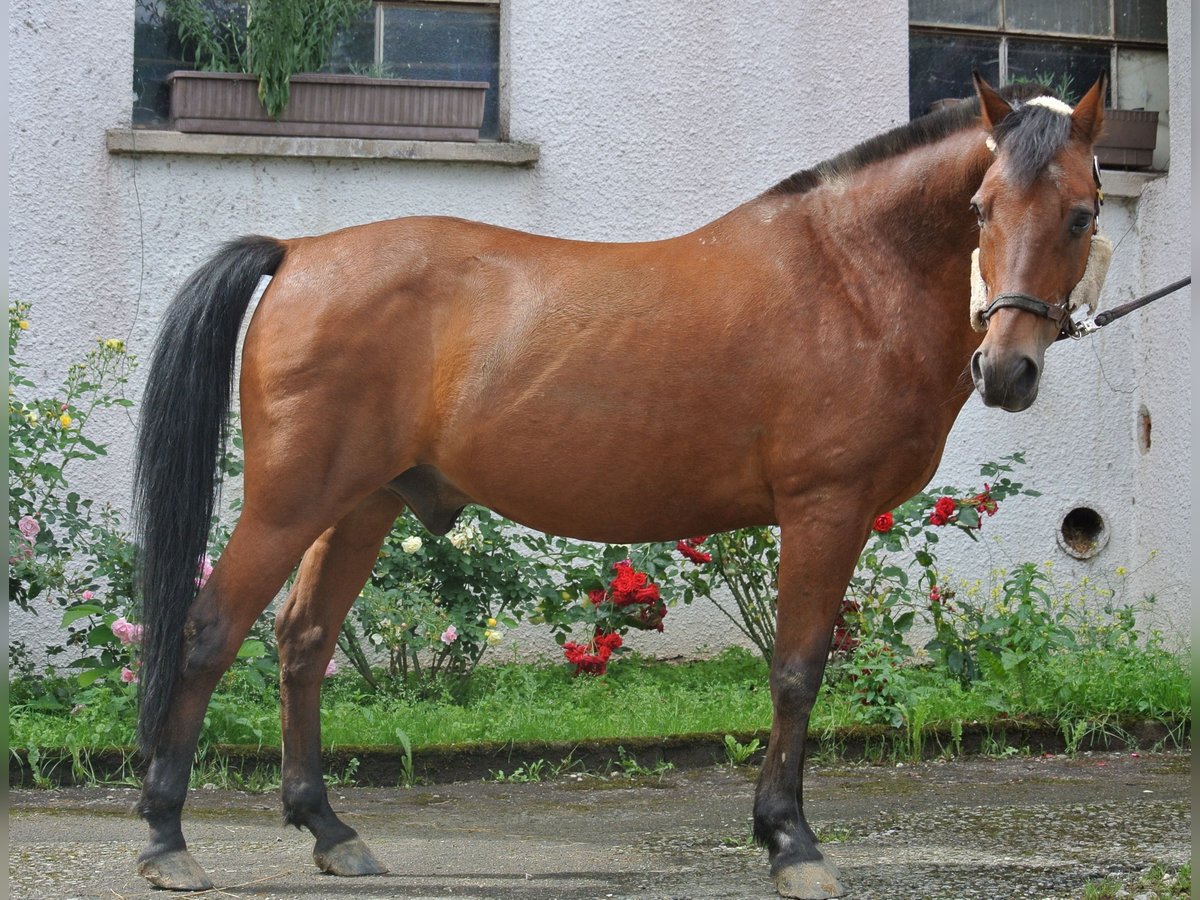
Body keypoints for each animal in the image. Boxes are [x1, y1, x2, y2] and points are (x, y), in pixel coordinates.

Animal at [131, 74, 1104, 897]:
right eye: (979, 208)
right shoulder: (824, 509)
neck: (851, 275)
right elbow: (797, 671)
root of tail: (298, 253)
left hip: (361, 505)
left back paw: (330, 831)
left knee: (303, 642)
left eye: (1082, 215)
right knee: (210, 633)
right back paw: (166, 839)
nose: (1007, 370)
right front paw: (791, 842)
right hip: (290, 501)